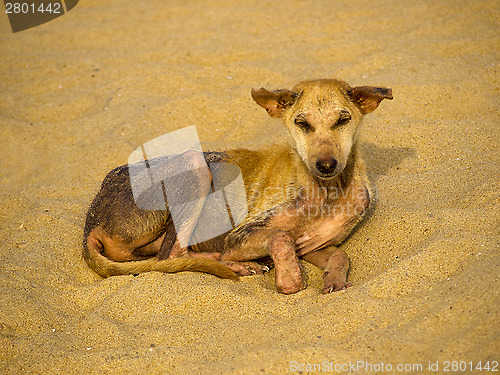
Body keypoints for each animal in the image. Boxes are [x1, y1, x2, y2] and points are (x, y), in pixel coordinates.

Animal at [83, 78, 394, 294]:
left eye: (343, 119)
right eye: (302, 123)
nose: (326, 165)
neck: (328, 190)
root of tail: (92, 219)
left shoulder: (313, 246)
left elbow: (340, 254)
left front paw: (334, 279)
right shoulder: (240, 235)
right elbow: (280, 237)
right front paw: (289, 279)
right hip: (194, 164)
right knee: (172, 255)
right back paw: (235, 265)